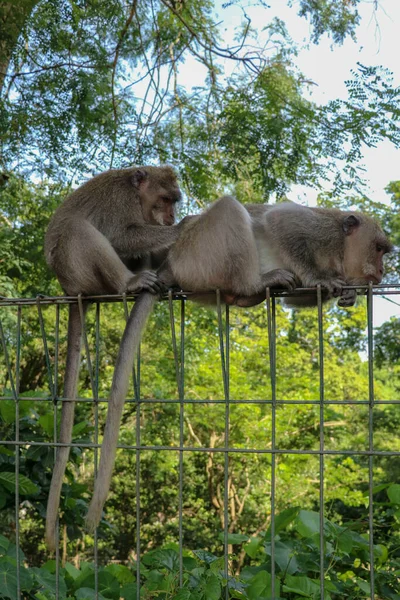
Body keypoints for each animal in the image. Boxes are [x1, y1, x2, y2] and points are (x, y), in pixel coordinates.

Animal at [44, 164, 183, 548]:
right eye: (165, 200)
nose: (171, 218)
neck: (138, 195)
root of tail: (68, 290)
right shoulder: (121, 204)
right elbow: (120, 235)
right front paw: (181, 230)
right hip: (78, 270)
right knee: (79, 230)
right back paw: (128, 283)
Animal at [83, 195, 390, 528]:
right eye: (379, 248)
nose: (382, 272)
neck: (339, 251)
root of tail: (171, 262)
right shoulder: (321, 231)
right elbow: (283, 222)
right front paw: (322, 278)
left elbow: (294, 299)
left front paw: (349, 293)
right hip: (200, 256)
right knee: (230, 208)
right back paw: (254, 284)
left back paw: (247, 297)